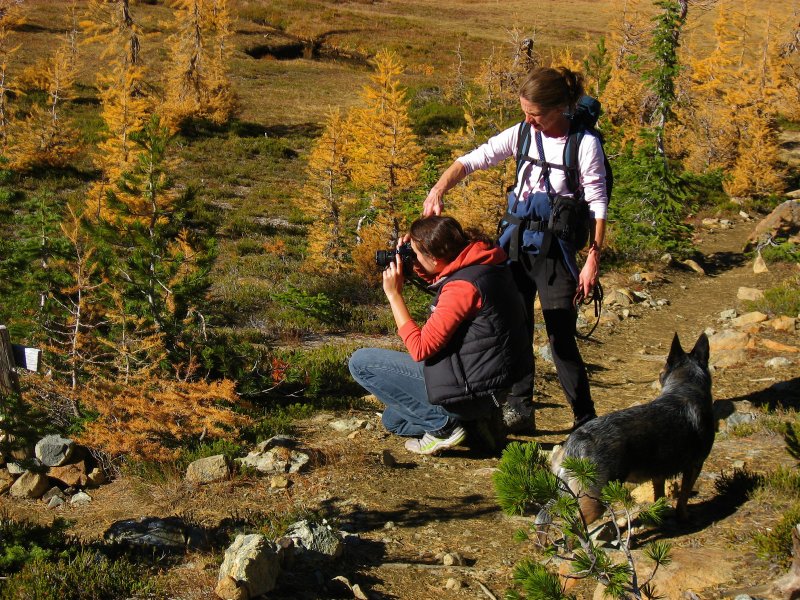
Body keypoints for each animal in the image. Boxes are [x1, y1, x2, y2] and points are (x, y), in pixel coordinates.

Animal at [552, 332, 716, 524]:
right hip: (594, 499)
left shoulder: (658, 472)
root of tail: (576, 441)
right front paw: (683, 517)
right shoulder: (695, 465)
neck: (686, 388)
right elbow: (683, 497)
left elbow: (659, 496)